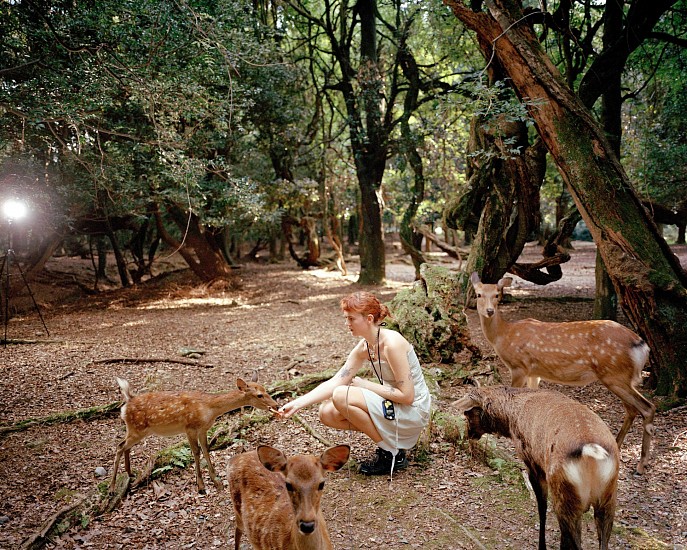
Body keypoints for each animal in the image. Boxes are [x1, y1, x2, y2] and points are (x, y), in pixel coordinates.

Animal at [109, 376, 278, 496]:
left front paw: (216, 482)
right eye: (259, 395)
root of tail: (127, 403)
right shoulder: (189, 427)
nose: (275, 405)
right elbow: (196, 452)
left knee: (125, 446)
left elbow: (206, 449)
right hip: (137, 429)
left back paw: (130, 473)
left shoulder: (203, 429)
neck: (210, 409)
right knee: (119, 446)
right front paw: (201, 487)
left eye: (265, 389)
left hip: (135, 430)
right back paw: (112, 489)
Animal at [454, 388, 620, 550]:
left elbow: (541, 507)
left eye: (467, 415)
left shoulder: (532, 463)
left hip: (563, 492)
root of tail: (590, 451)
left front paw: (542, 546)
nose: (468, 433)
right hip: (608, 496)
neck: (511, 420)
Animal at [472, 272, 656, 474]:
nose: (489, 311)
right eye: (479, 294)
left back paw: (641, 464)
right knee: (632, 409)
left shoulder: (519, 366)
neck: (504, 335)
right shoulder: (534, 372)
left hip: (614, 375)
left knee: (647, 407)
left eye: (497, 294)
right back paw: (618, 446)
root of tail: (643, 346)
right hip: (619, 377)